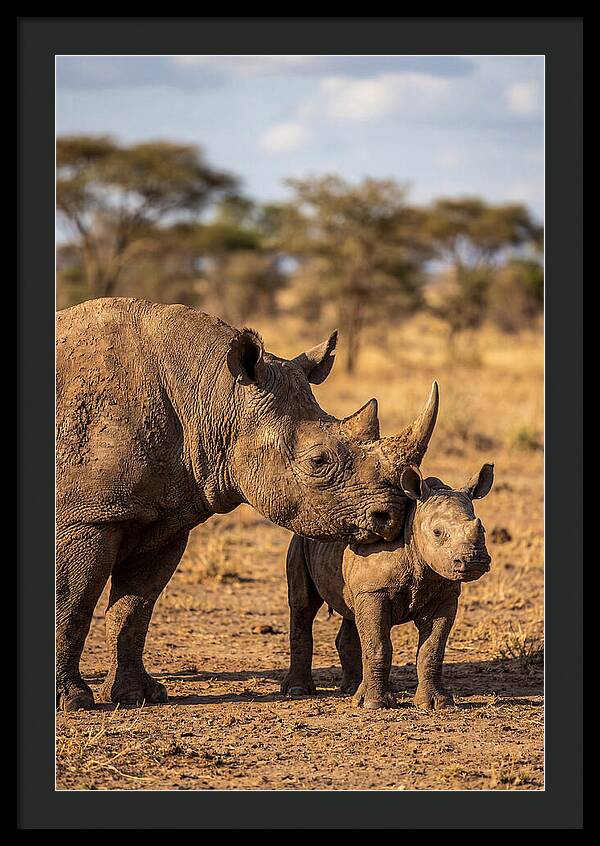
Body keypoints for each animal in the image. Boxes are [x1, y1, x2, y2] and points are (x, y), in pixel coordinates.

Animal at [56, 297, 412, 711]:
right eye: (318, 461)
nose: (392, 516)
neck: (213, 395)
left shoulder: (165, 518)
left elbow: (134, 609)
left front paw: (138, 696)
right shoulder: (89, 516)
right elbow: (73, 603)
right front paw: (74, 701)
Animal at [281, 461, 494, 710]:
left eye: (483, 529)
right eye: (437, 532)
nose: (474, 560)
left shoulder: (445, 594)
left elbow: (432, 649)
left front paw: (436, 703)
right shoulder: (375, 590)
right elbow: (378, 645)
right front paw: (374, 704)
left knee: (351, 612)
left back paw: (352, 689)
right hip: (300, 540)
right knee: (303, 606)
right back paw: (298, 690)